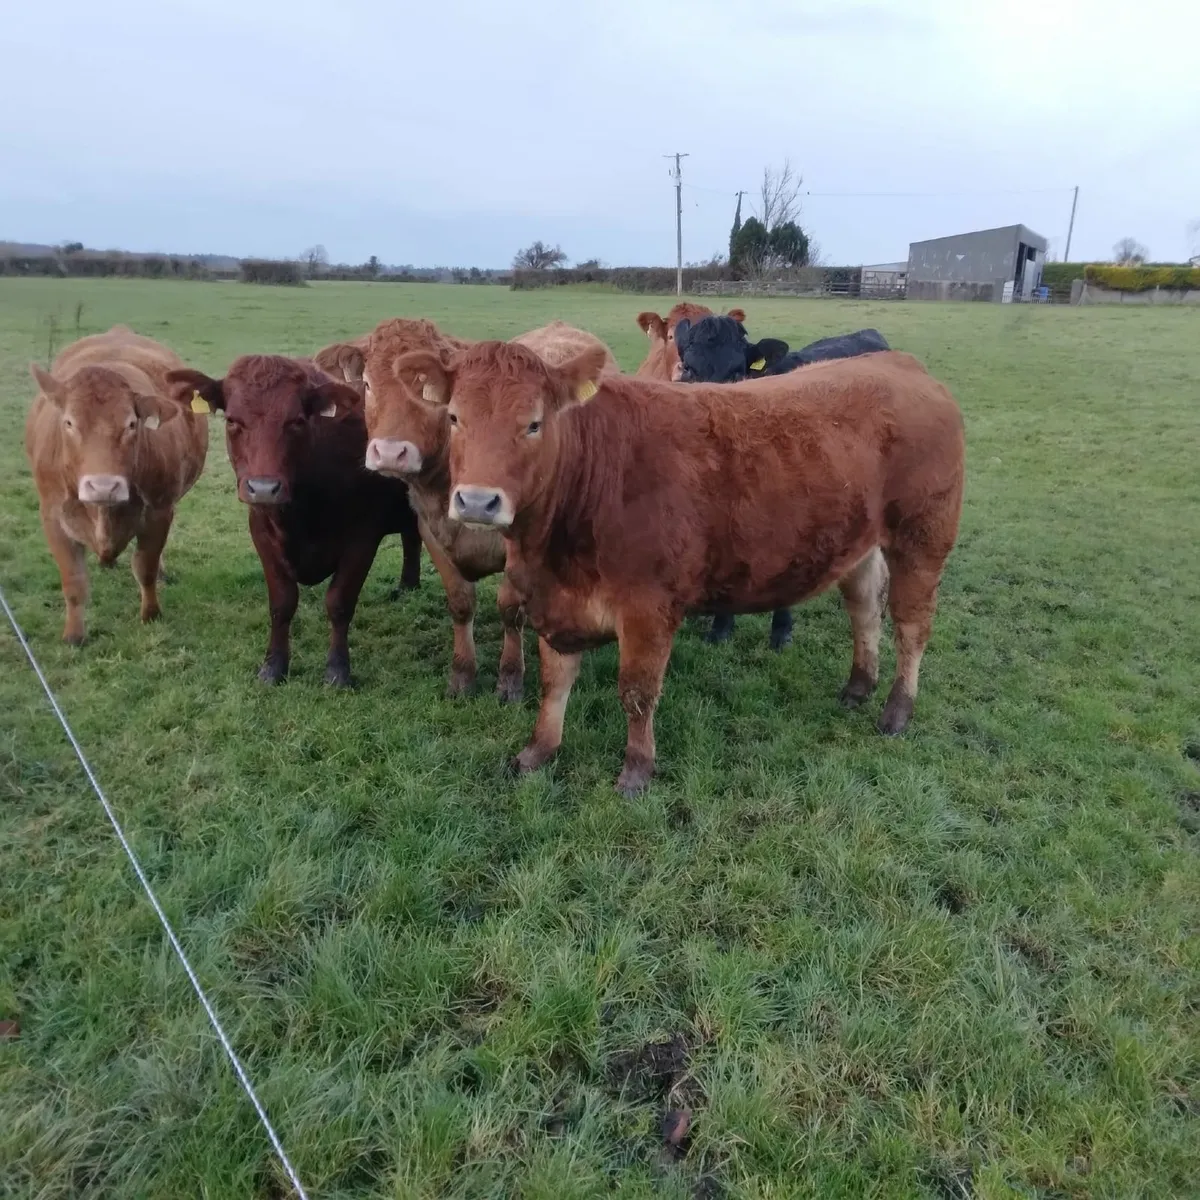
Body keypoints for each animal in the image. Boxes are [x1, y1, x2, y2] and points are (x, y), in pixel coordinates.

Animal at [24, 326, 209, 644]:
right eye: (69, 423)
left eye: (132, 424)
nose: (103, 487)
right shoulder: (52, 516)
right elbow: (73, 581)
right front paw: (74, 635)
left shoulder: (159, 510)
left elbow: (145, 566)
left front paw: (151, 614)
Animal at [162, 355, 422, 687]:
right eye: (232, 420)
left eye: (297, 421)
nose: (263, 488)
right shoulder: (261, 531)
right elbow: (282, 604)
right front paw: (274, 666)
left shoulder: (363, 538)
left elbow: (339, 603)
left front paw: (338, 670)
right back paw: (408, 586)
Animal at [355, 317, 620, 700]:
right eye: (366, 384)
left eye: (534, 424)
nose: (390, 453)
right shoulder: (431, 533)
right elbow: (461, 603)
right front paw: (462, 675)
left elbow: (510, 610)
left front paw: (510, 678)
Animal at [392, 341, 965, 797]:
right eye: (454, 418)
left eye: (533, 423)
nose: (476, 501)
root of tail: (898, 362)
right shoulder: (555, 601)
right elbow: (555, 682)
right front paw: (538, 752)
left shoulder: (649, 608)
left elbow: (637, 693)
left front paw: (636, 772)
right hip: (861, 544)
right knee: (865, 609)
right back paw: (857, 687)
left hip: (923, 538)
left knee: (912, 627)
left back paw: (896, 711)